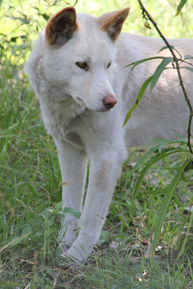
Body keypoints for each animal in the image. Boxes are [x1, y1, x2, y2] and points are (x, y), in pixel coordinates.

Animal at [24, 5, 192, 262]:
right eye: (82, 65)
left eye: (108, 65)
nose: (112, 103)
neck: (69, 107)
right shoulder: (69, 151)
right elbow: (70, 209)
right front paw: (62, 246)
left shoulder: (107, 158)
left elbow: (90, 218)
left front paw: (75, 258)